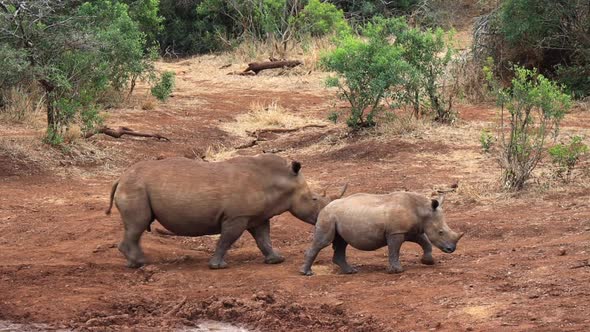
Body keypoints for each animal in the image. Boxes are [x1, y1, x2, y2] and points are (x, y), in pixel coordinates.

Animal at [106, 156, 346, 270]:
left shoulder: (257, 216)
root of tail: (120, 177)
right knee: (137, 225)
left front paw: (276, 260)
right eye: (314, 199)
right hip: (135, 187)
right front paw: (218, 266)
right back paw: (140, 263)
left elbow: (264, 239)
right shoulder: (236, 217)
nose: (324, 217)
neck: (278, 181)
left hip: (135, 186)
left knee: (136, 227)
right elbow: (227, 239)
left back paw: (137, 262)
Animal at [302, 192, 464, 274]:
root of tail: (324, 207)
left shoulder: (411, 230)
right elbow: (394, 250)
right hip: (328, 216)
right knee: (324, 242)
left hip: (338, 216)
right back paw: (307, 273)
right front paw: (397, 271)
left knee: (342, 242)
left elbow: (425, 241)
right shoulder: (395, 232)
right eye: (440, 232)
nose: (451, 249)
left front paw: (428, 261)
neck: (423, 210)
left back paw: (351, 271)